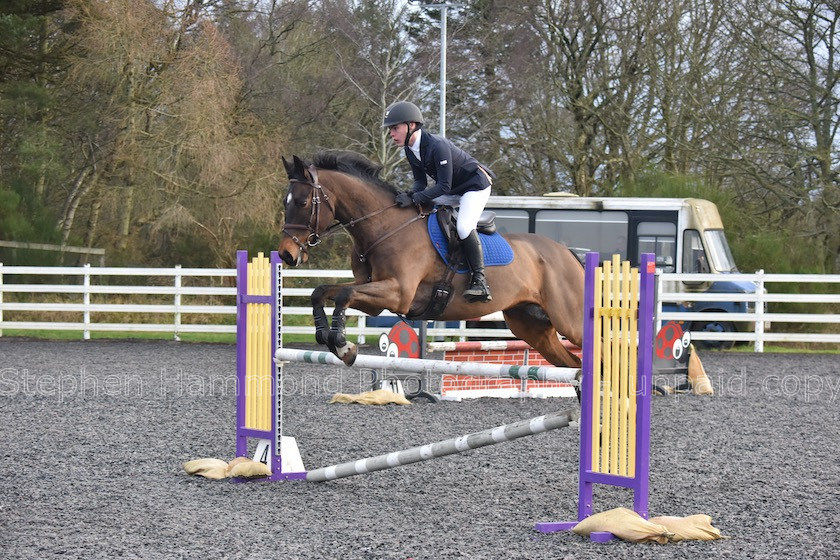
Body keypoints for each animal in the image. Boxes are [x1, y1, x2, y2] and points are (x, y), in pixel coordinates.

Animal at [278, 150, 580, 368]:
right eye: (285, 202)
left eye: (302, 203)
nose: (285, 253)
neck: (383, 226)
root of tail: (568, 253)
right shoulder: (373, 296)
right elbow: (322, 292)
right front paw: (327, 336)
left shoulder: (398, 293)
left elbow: (343, 295)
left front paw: (343, 345)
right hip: (531, 326)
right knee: (573, 364)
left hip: (568, 322)